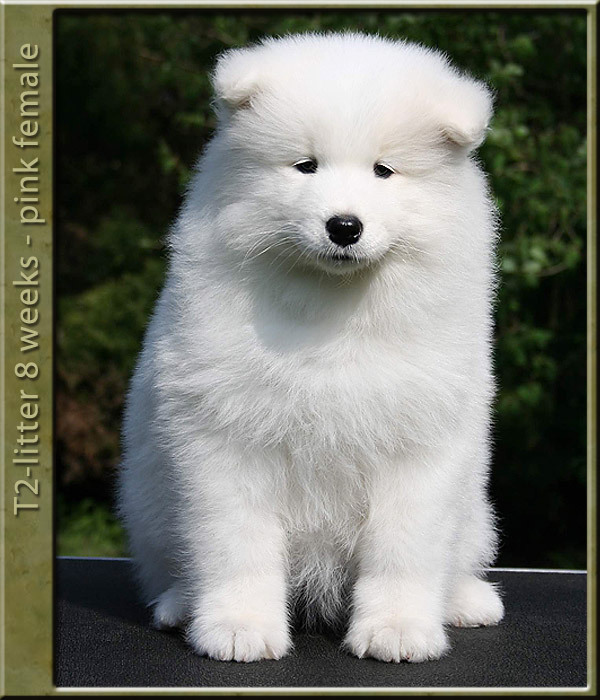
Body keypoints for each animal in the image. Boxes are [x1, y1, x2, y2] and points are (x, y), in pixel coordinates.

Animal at [118, 32, 504, 663]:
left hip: (472, 510)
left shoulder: (420, 445)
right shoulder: (225, 438)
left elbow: (404, 549)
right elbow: (236, 544)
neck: (334, 309)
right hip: (149, 501)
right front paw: (240, 627)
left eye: (383, 171)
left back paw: (466, 600)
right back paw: (178, 605)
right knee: (170, 564)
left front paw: (398, 629)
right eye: (305, 166)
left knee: (456, 557)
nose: (344, 226)